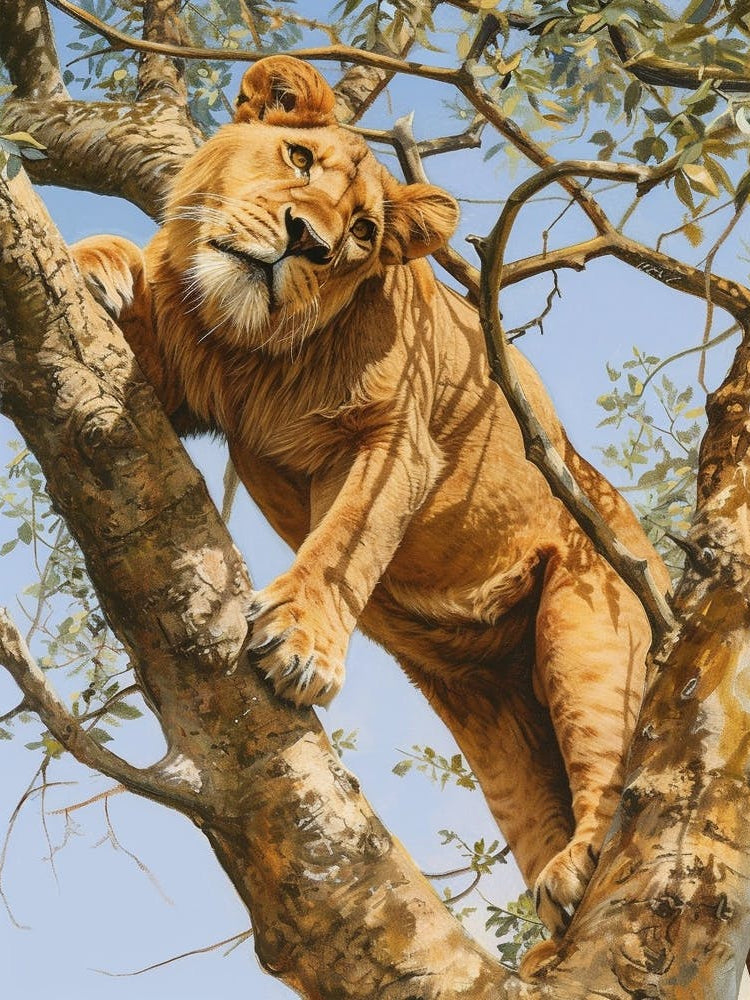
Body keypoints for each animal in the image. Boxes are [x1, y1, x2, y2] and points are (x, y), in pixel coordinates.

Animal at [72, 55, 670, 946]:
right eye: (298, 160)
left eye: (361, 232)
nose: (306, 242)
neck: (243, 348)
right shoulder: (174, 385)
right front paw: (97, 262)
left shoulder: (395, 440)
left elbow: (346, 543)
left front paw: (301, 646)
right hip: (492, 718)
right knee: (538, 803)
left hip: (590, 628)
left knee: (612, 766)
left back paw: (580, 870)